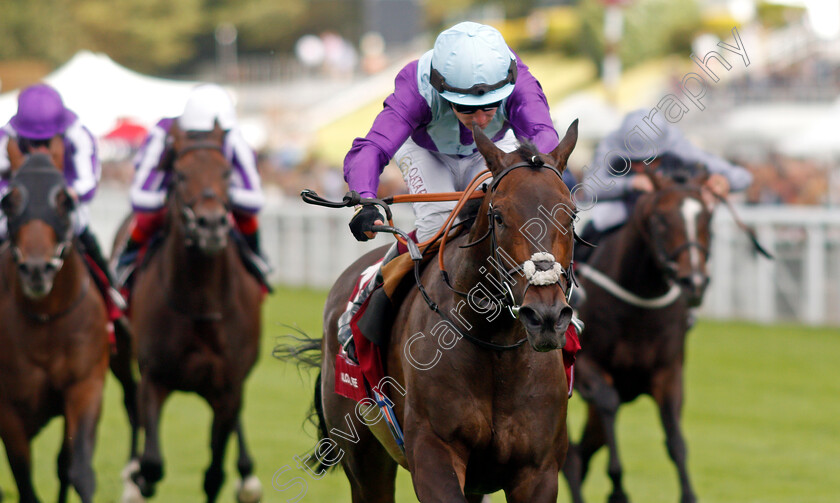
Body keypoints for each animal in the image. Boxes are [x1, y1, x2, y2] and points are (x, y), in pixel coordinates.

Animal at [0, 155, 110, 503]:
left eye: (64, 202)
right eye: (9, 202)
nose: (37, 270)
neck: (46, 320)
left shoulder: (85, 384)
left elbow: (79, 472)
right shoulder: (8, 409)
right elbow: (24, 482)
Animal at [118, 126, 262, 503]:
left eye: (226, 173)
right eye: (180, 175)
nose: (210, 224)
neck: (200, 302)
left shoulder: (228, 385)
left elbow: (214, 474)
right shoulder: (154, 376)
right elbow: (153, 461)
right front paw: (141, 479)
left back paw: (248, 475)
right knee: (129, 402)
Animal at [298, 123, 580, 503]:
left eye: (571, 215)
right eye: (499, 216)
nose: (545, 315)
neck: (496, 347)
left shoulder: (538, 471)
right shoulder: (433, 453)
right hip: (363, 456)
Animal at [568, 168, 712, 503]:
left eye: (707, 218)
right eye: (660, 219)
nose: (695, 282)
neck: (640, 306)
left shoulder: (668, 373)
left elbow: (675, 440)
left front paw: (688, 493)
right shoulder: (588, 366)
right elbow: (608, 403)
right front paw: (618, 487)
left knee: (579, 453)